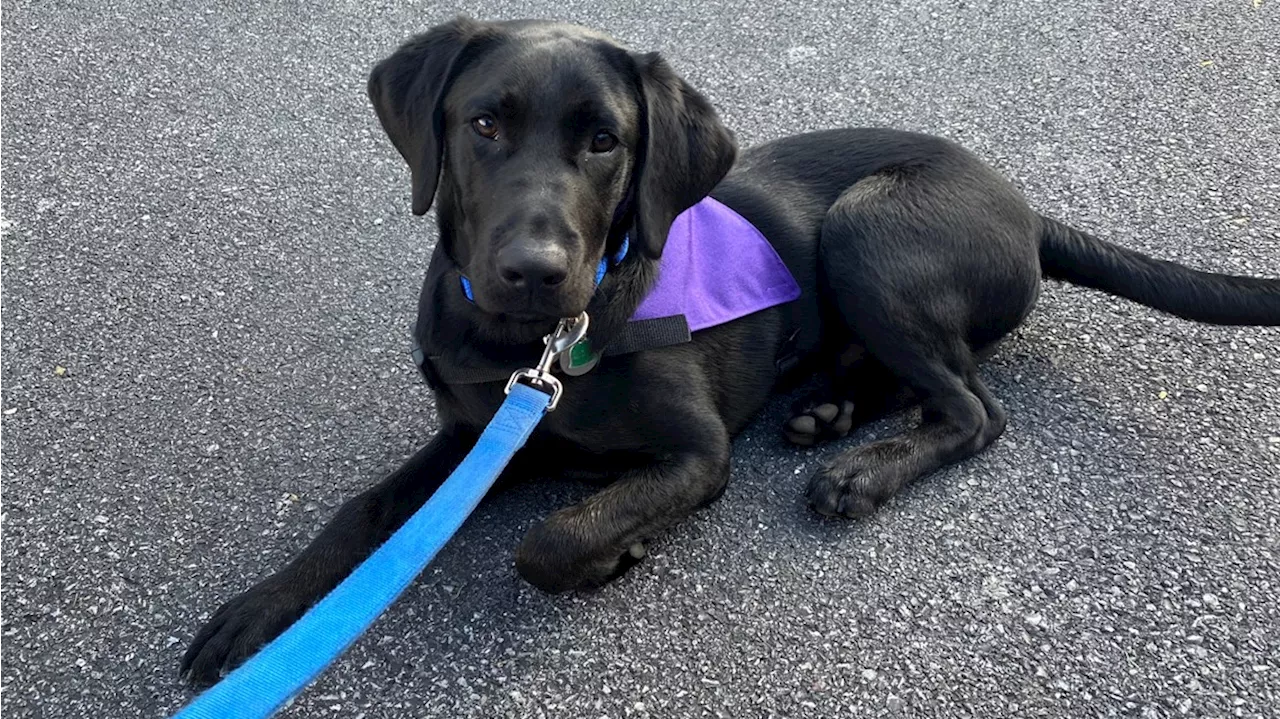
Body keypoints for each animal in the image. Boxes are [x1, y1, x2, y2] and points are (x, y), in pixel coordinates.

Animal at [180, 16, 1280, 680]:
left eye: (605, 140)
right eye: (484, 123)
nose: (535, 268)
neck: (527, 344)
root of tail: (1025, 207)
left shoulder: (694, 451)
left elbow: (552, 539)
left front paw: (615, 545)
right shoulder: (473, 433)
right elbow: (362, 511)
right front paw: (258, 610)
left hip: (868, 229)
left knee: (976, 406)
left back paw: (860, 468)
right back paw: (829, 407)